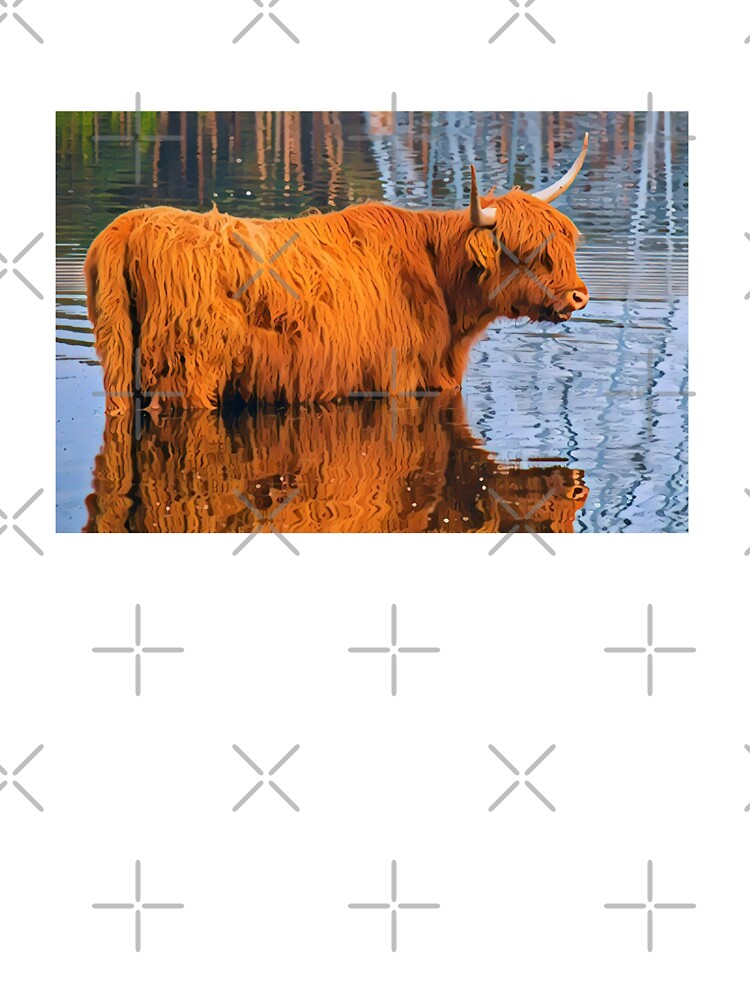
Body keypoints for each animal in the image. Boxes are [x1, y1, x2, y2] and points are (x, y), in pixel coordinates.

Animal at [84, 135, 590, 410]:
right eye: (526, 251)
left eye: (565, 244)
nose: (579, 296)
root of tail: (132, 224)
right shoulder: (399, 378)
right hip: (189, 373)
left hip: (120, 365)